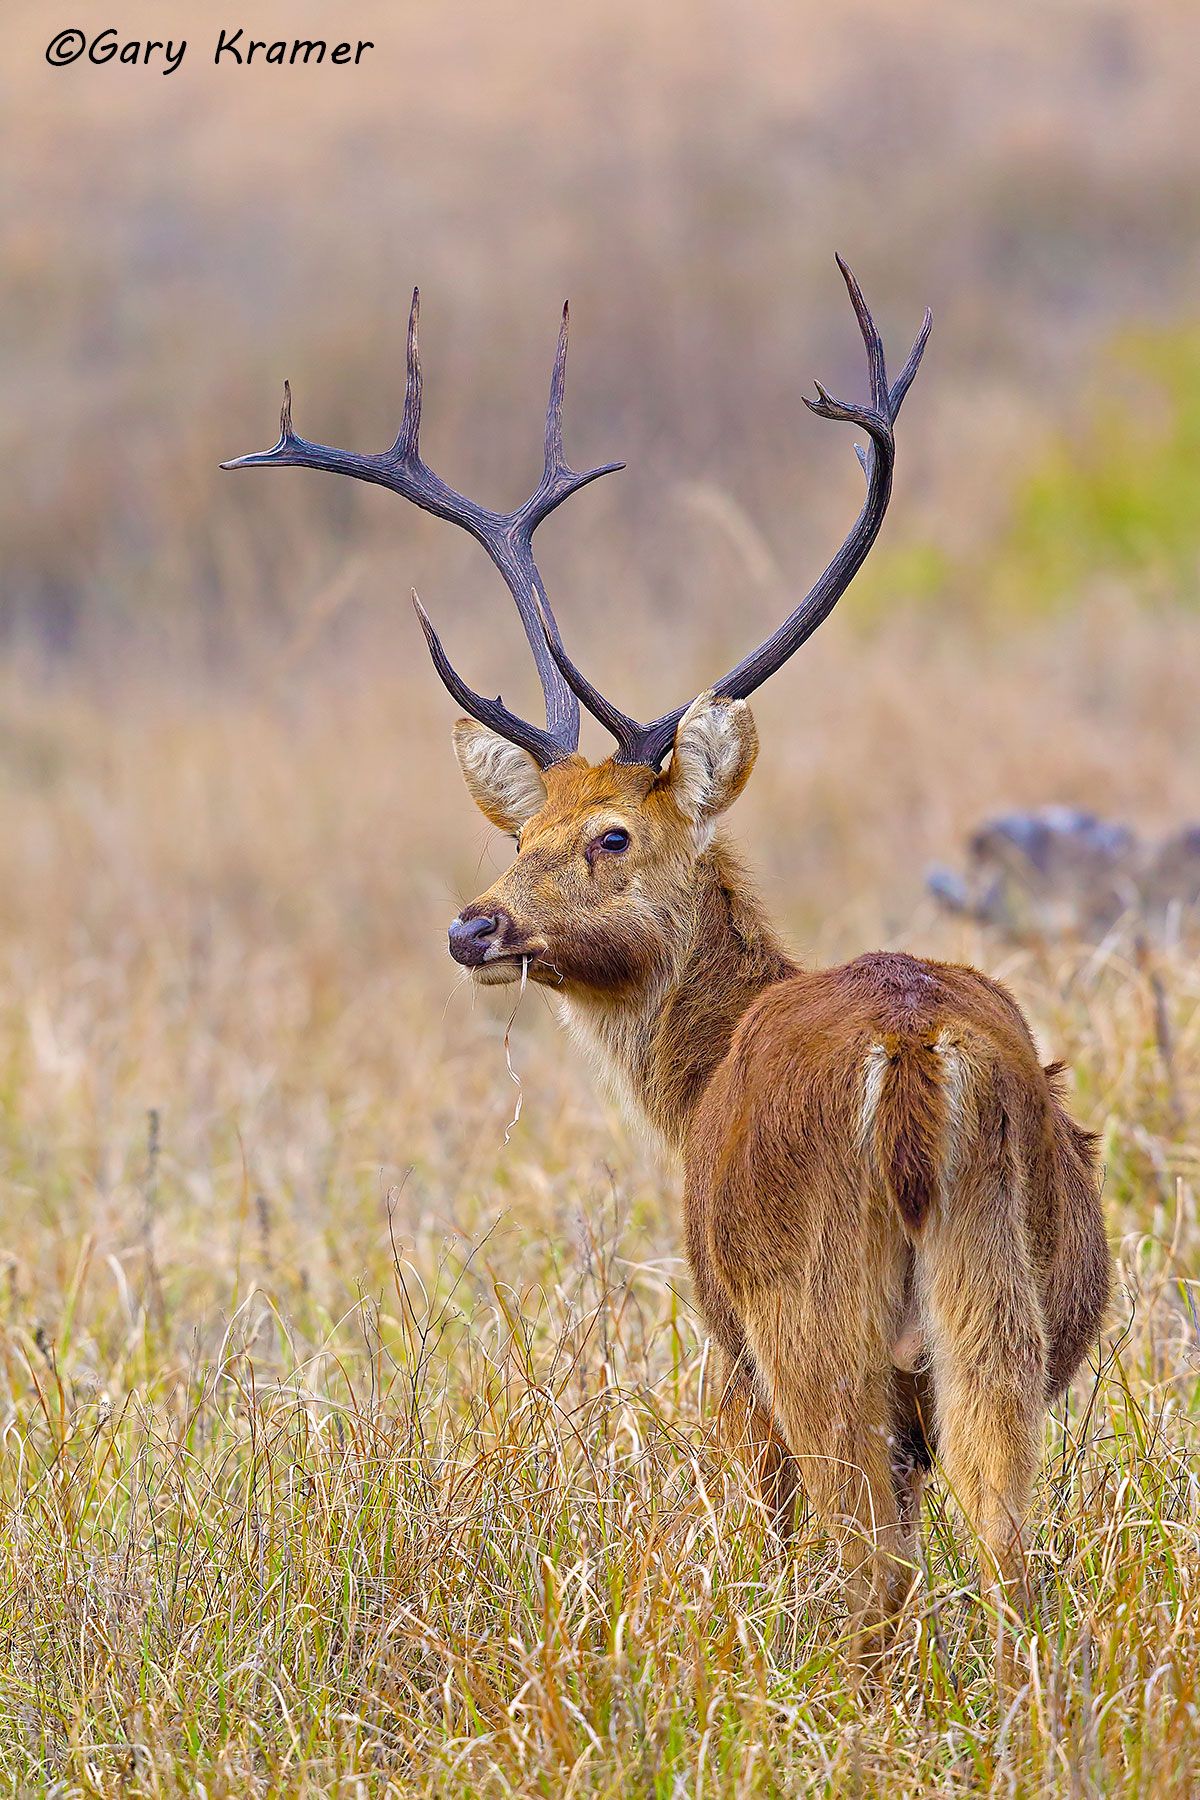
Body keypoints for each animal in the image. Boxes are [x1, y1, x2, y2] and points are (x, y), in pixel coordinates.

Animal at [224, 260, 1112, 1680]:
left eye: (611, 836)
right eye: (518, 833)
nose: (473, 927)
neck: (692, 1087)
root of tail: (912, 1059)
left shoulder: (722, 1341)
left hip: (804, 1315)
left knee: (866, 1561)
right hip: (995, 1303)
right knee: (1009, 1544)